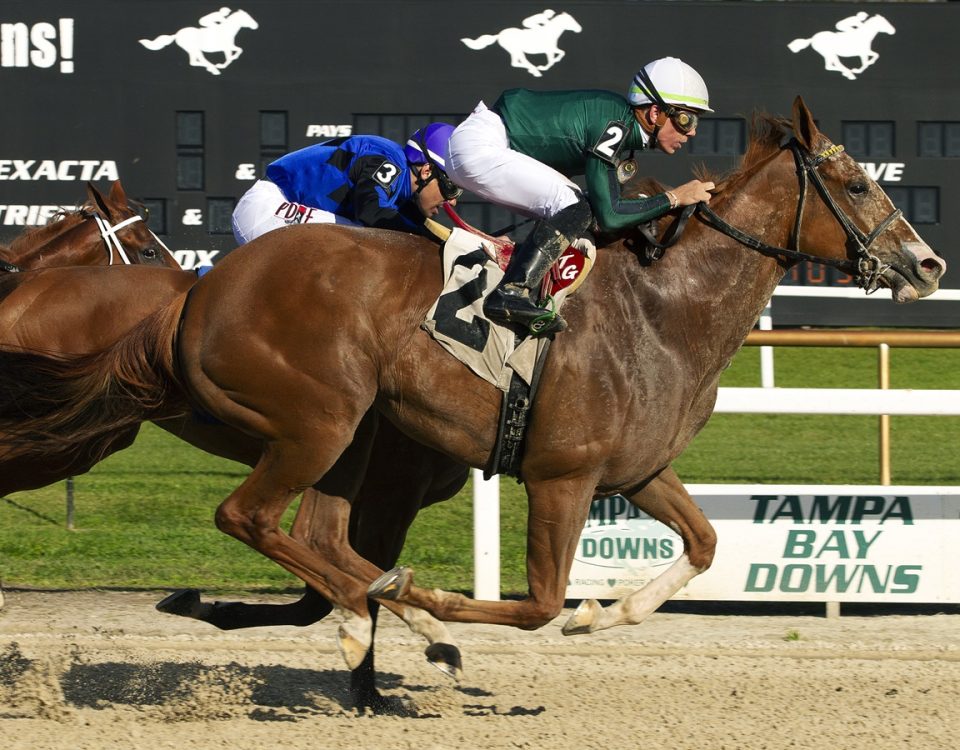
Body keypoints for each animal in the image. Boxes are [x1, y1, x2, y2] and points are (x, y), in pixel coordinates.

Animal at [0, 98, 944, 692]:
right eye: (857, 184)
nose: (929, 263)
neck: (663, 310)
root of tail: (197, 293)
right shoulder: (561, 475)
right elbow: (533, 604)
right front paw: (445, 618)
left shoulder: (634, 472)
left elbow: (706, 544)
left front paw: (601, 614)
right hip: (318, 423)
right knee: (251, 518)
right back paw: (370, 610)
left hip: (346, 436)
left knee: (310, 538)